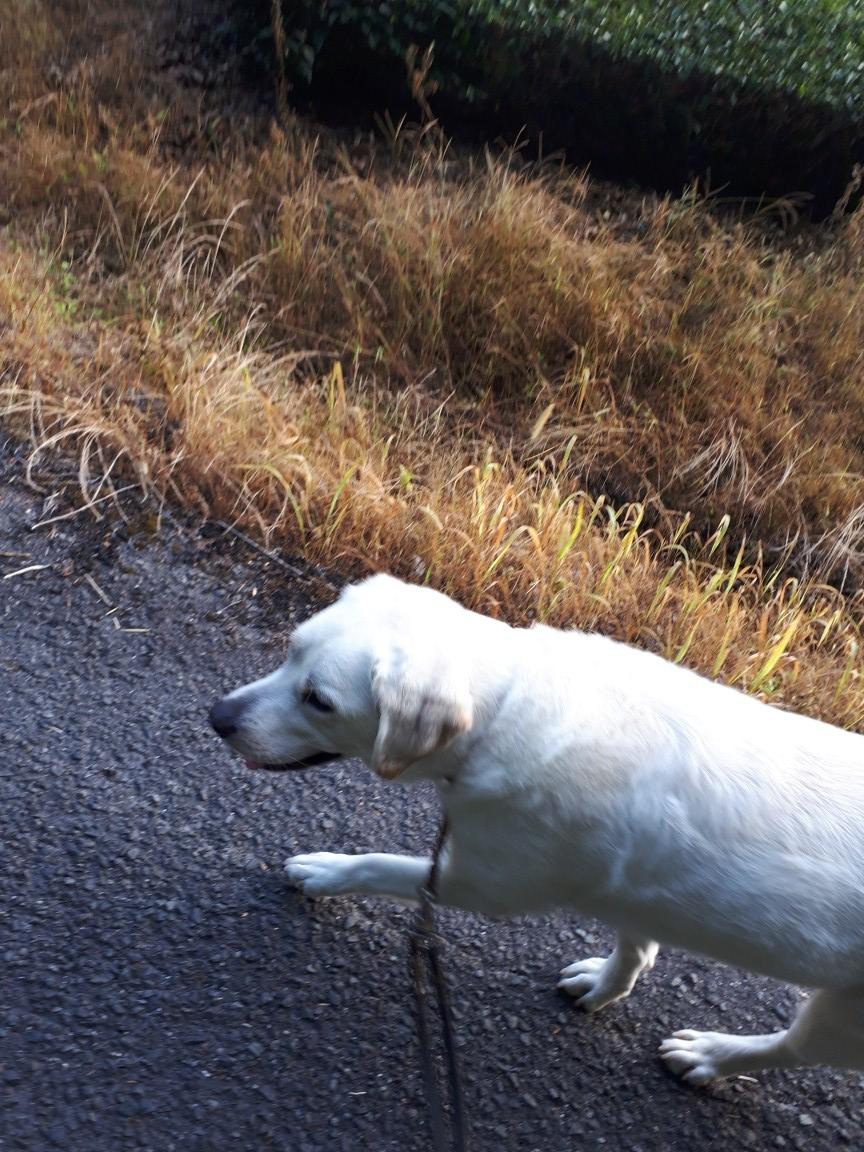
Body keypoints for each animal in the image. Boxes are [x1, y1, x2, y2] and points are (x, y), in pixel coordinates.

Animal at [210, 573, 864, 1086]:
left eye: (318, 699)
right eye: (290, 648)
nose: (217, 718)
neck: (505, 701)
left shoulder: (483, 883)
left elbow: (383, 865)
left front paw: (326, 871)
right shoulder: (641, 886)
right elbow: (636, 945)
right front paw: (606, 984)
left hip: (840, 1019)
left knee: (793, 1048)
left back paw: (714, 1056)